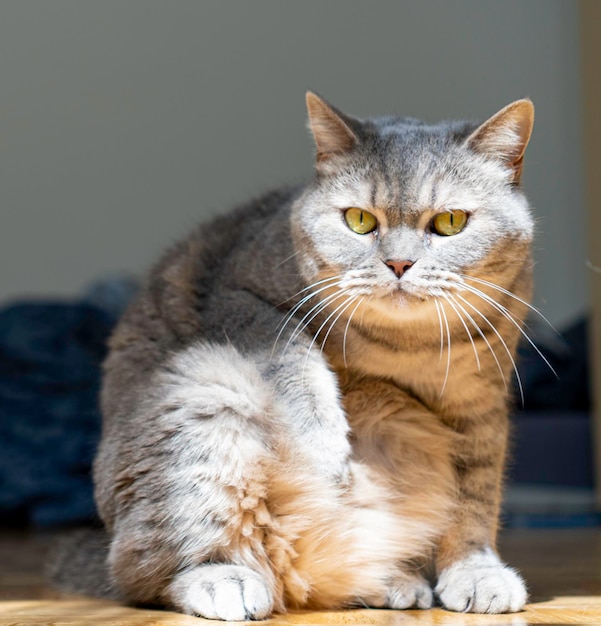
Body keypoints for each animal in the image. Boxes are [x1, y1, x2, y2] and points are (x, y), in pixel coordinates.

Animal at [49, 90, 536, 616]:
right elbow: (299, 370)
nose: (399, 263)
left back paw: (391, 582)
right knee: (150, 572)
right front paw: (327, 454)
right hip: (202, 400)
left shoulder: (479, 410)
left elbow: (475, 499)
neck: (404, 348)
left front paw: (476, 571)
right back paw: (225, 579)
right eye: (359, 220)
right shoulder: (241, 299)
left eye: (450, 221)